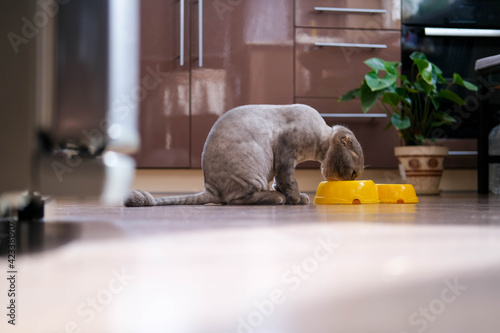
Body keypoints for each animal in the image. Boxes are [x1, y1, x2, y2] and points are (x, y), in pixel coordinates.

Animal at [125, 104, 364, 206]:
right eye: (354, 174)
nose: (352, 178)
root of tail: (210, 188)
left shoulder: (280, 163)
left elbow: (281, 181)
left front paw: (296, 198)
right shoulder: (286, 152)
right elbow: (289, 181)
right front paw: (295, 198)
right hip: (253, 172)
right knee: (234, 200)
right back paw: (277, 199)